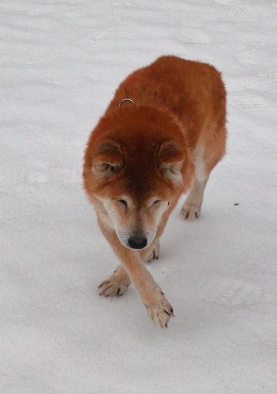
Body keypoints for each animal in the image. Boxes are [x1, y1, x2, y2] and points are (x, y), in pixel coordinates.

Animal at [83, 54, 225, 326]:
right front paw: (131, 284)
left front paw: (151, 302)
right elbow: (130, 259)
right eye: (121, 201)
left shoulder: (161, 212)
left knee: (201, 178)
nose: (137, 241)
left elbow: (135, 258)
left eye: (155, 201)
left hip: (205, 153)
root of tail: (197, 63)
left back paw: (191, 206)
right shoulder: (107, 218)